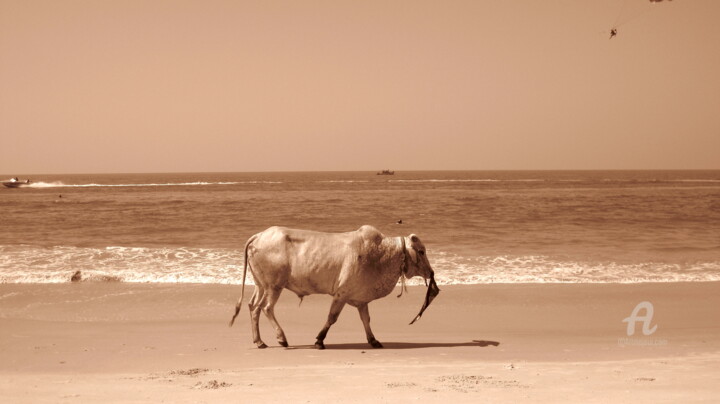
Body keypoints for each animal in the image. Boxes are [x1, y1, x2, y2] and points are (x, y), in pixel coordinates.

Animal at [228, 226, 438, 348]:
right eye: (421, 251)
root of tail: (259, 235)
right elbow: (332, 318)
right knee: (266, 308)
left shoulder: (361, 298)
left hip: (261, 285)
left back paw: (259, 341)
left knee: (253, 307)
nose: (431, 272)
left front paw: (373, 340)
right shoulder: (341, 294)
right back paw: (281, 338)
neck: (383, 254)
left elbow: (366, 320)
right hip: (274, 286)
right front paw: (319, 340)